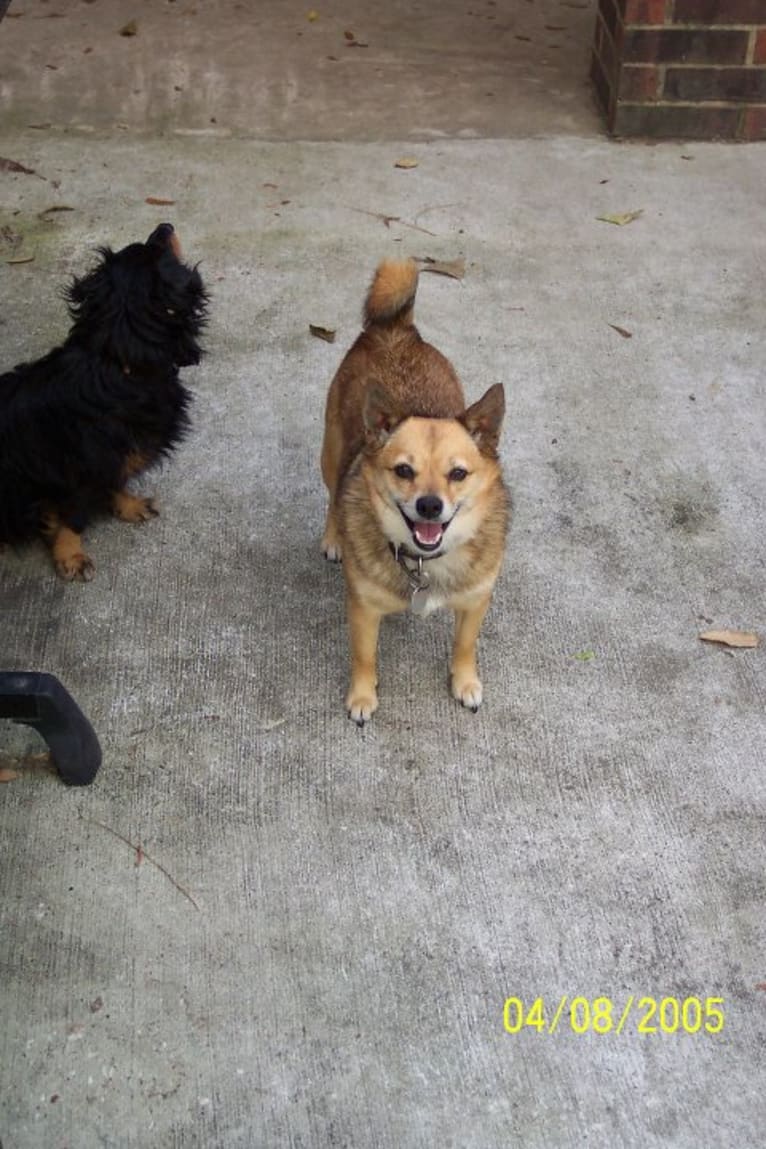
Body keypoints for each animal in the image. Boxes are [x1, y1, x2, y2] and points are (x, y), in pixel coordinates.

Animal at [0, 222, 206, 579]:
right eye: (158, 249)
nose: (165, 226)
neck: (119, 366)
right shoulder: (74, 473)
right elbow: (74, 517)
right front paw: (70, 554)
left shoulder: (113, 458)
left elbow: (116, 483)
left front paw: (129, 507)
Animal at [321, 263, 512, 726]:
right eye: (404, 471)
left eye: (458, 473)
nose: (429, 505)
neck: (426, 563)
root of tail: (395, 329)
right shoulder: (363, 610)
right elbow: (364, 656)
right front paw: (362, 696)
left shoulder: (475, 601)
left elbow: (464, 645)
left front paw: (464, 682)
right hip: (330, 453)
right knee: (333, 497)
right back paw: (334, 537)